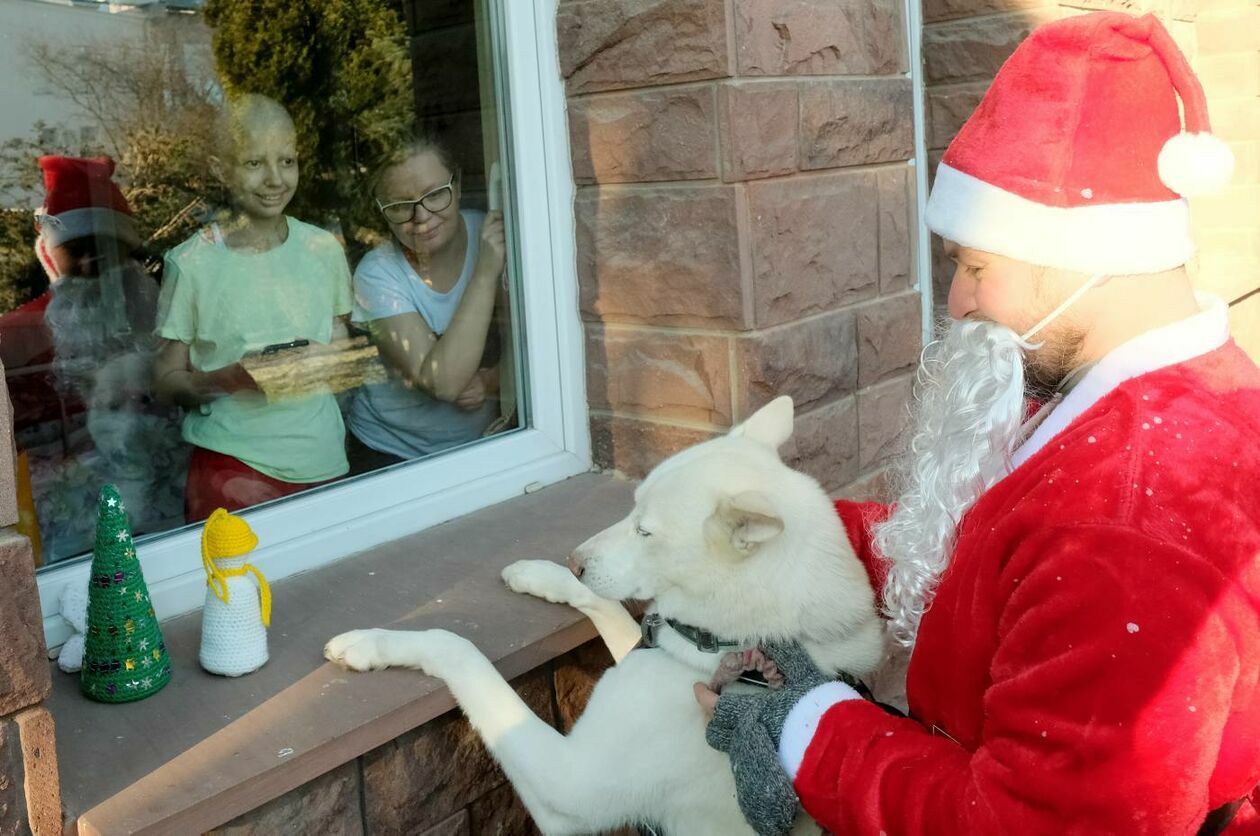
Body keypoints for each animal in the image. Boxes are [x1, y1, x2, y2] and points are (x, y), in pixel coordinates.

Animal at [325, 398, 887, 836]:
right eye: (631, 509)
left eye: (646, 531)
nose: (574, 558)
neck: (721, 647)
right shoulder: (644, 643)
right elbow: (608, 604)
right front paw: (541, 574)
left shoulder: (568, 788)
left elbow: (460, 650)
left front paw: (371, 645)